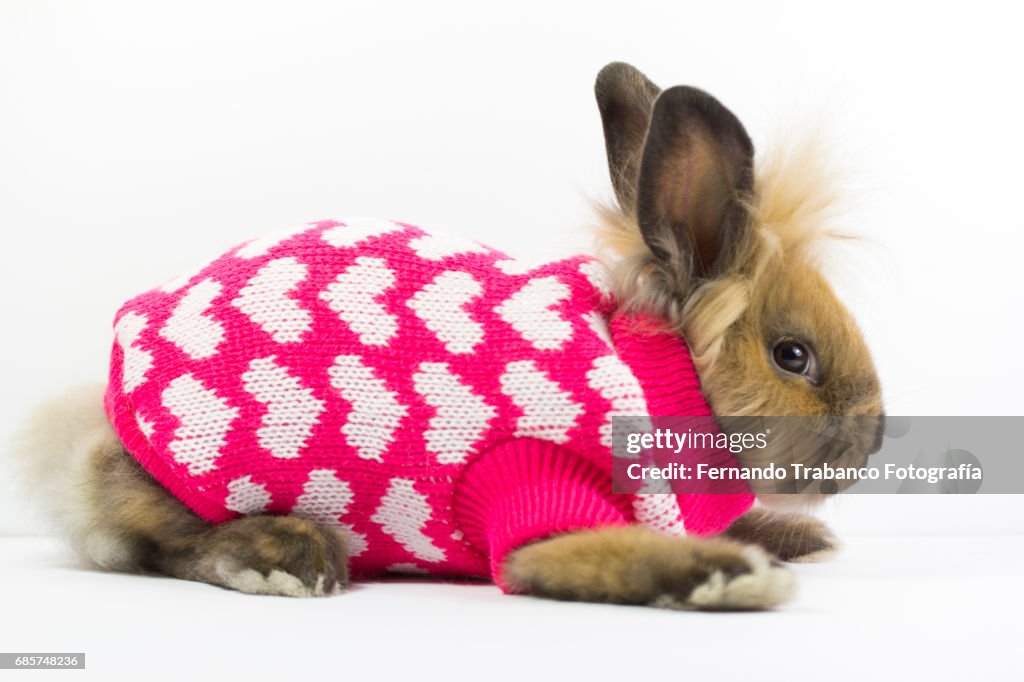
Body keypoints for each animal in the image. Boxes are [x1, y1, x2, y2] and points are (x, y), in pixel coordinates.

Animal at [8, 62, 884, 606]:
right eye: (793, 356)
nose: (877, 437)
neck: (661, 377)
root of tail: (95, 427)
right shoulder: (531, 493)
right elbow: (606, 556)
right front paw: (733, 576)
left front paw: (796, 540)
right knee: (153, 548)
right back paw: (288, 559)